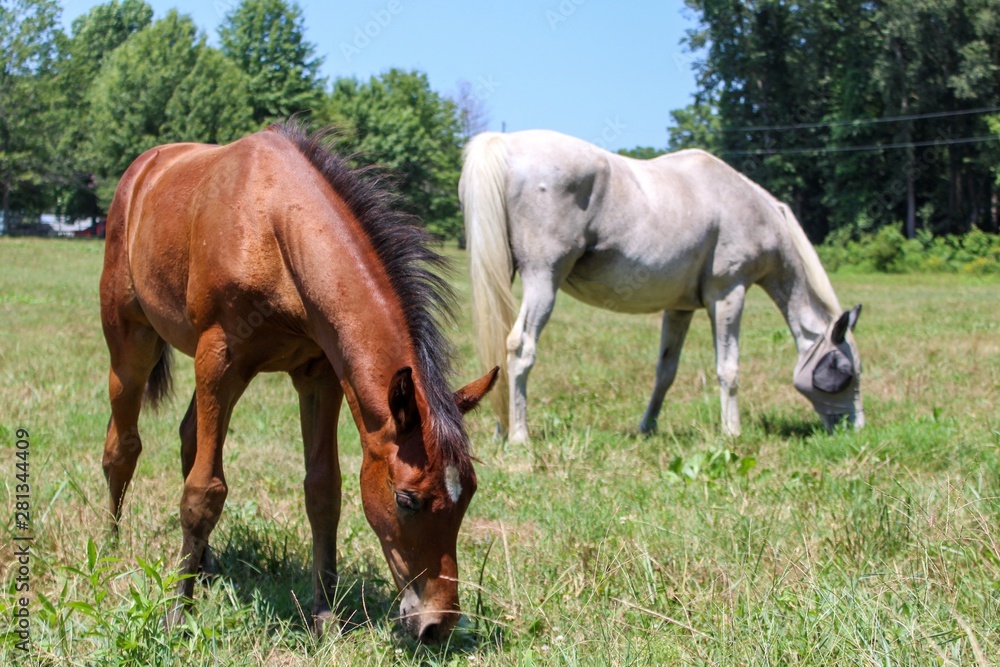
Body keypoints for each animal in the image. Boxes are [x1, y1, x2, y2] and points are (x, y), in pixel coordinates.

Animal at [99, 121, 498, 640]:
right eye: (407, 499)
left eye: (467, 492)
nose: (438, 623)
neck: (272, 225)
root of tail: (142, 169)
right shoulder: (218, 357)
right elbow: (203, 491)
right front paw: (175, 614)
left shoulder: (319, 374)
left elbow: (323, 490)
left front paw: (324, 613)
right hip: (131, 341)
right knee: (122, 445)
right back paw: (110, 550)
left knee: (188, 437)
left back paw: (204, 566)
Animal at [458, 130, 860, 444]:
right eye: (843, 370)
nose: (854, 429)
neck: (746, 207)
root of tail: (506, 142)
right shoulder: (728, 295)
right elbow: (728, 368)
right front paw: (732, 431)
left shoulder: (679, 309)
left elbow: (665, 372)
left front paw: (647, 427)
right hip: (544, 280)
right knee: (520, 347)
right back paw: (519, 435)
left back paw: (502, 427)